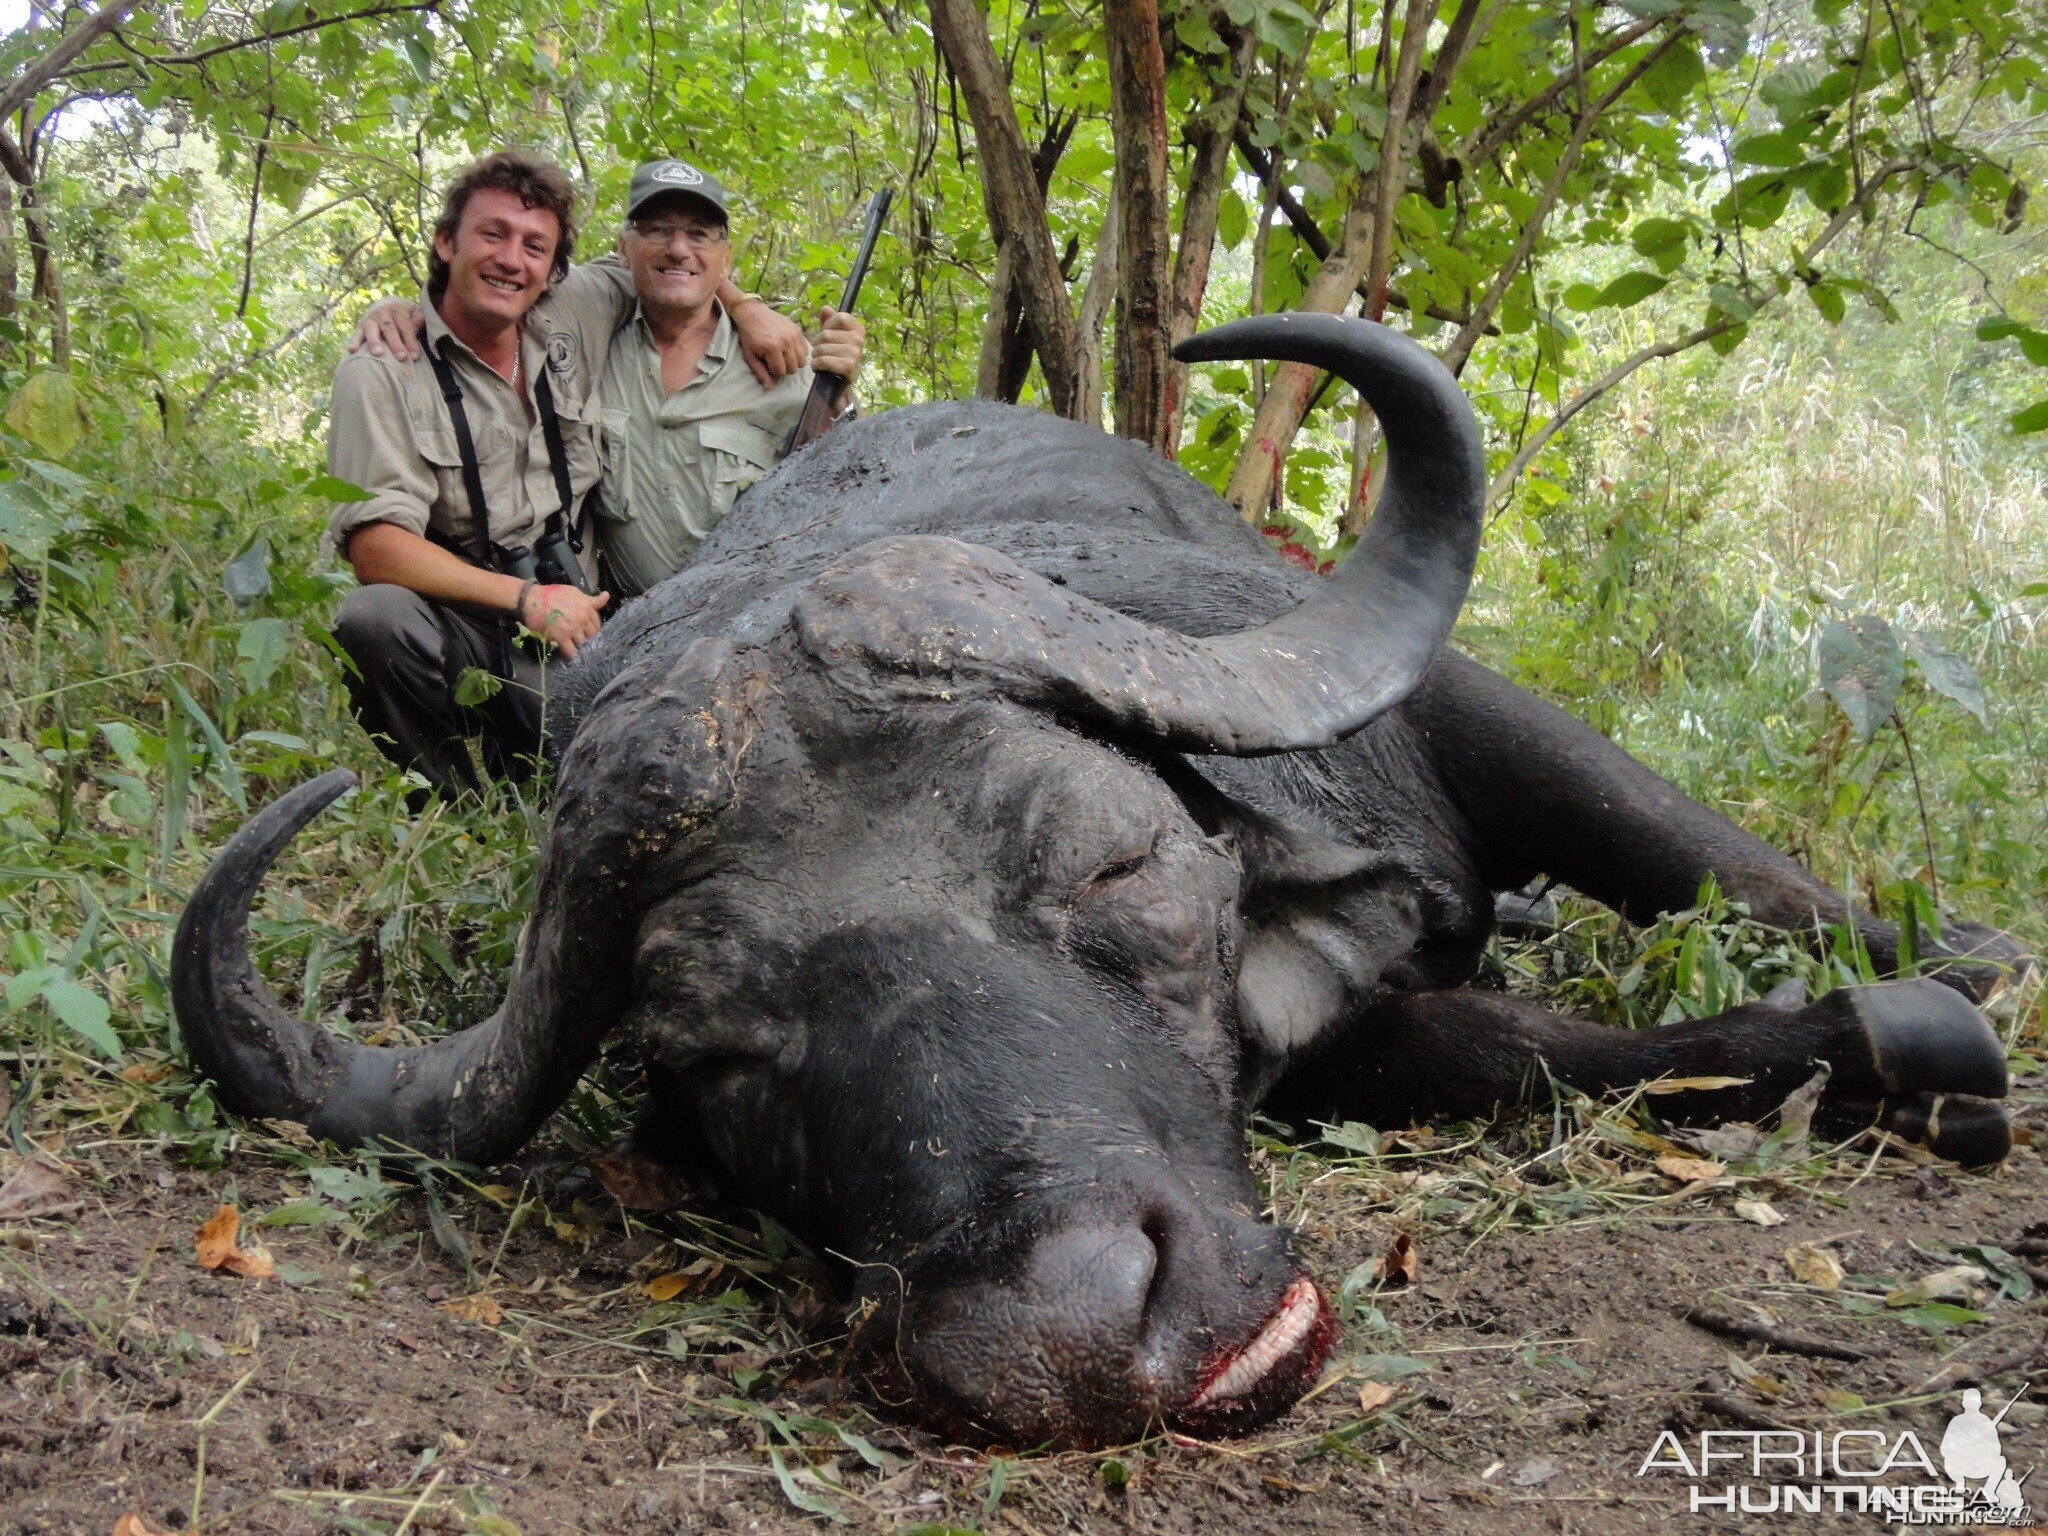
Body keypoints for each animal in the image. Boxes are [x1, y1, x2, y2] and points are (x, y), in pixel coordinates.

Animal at [180, 315, 2031, 1458]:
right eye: (717, 1057)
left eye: (1117, 864)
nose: (1074, 1330)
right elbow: (1533, 1060)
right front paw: (1878, 1048)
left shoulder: (1462, 713)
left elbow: (1705, 855)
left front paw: (1950, 966)